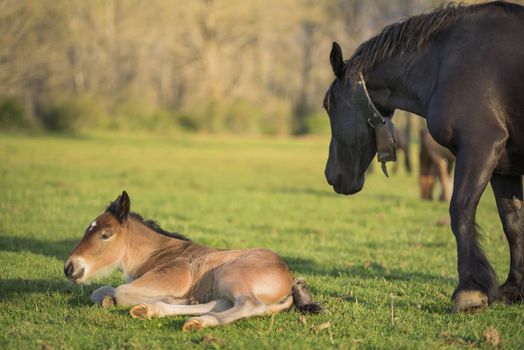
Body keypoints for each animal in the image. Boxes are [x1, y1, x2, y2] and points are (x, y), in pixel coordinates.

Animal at [324, 1, 524, 314]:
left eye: (327, 105)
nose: (330, 175)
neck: (447, 62)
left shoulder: (480, 146)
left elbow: (460, 210)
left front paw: (470, 291)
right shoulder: (505, 166)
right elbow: (513, 223)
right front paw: (514, 288)